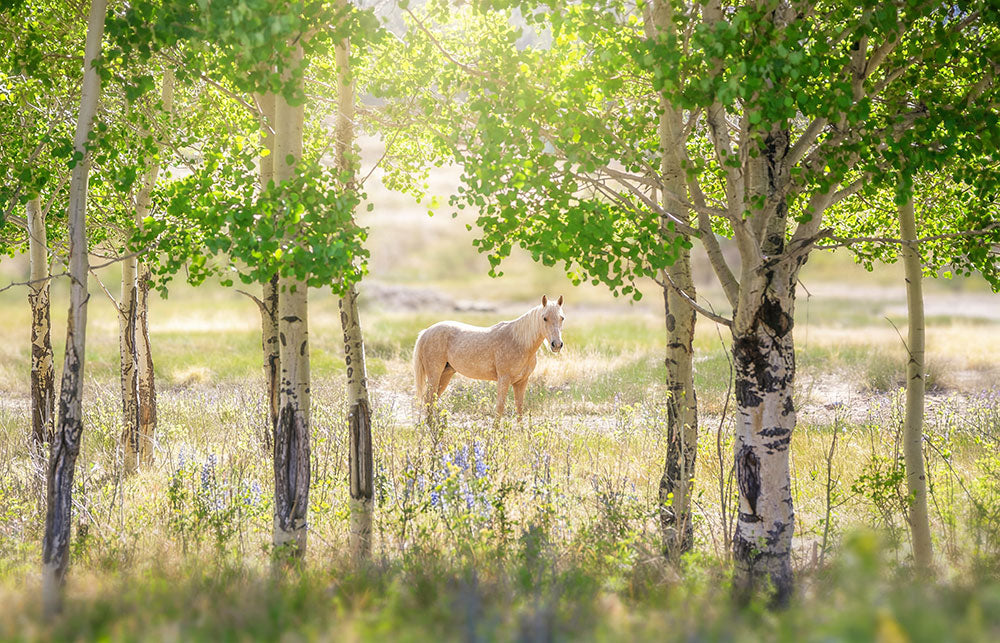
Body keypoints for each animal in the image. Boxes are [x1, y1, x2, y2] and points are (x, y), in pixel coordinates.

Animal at [413, 295, 565, 419]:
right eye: (544, 318)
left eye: (562, 318)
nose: (556, 345)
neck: (519, 342)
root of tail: (426, 332)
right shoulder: (504, 379)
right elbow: (500, 408)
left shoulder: (521, 382)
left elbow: (519, 409)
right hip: (434, 374)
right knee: (428, 400)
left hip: (446, 374)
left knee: (432, 401)